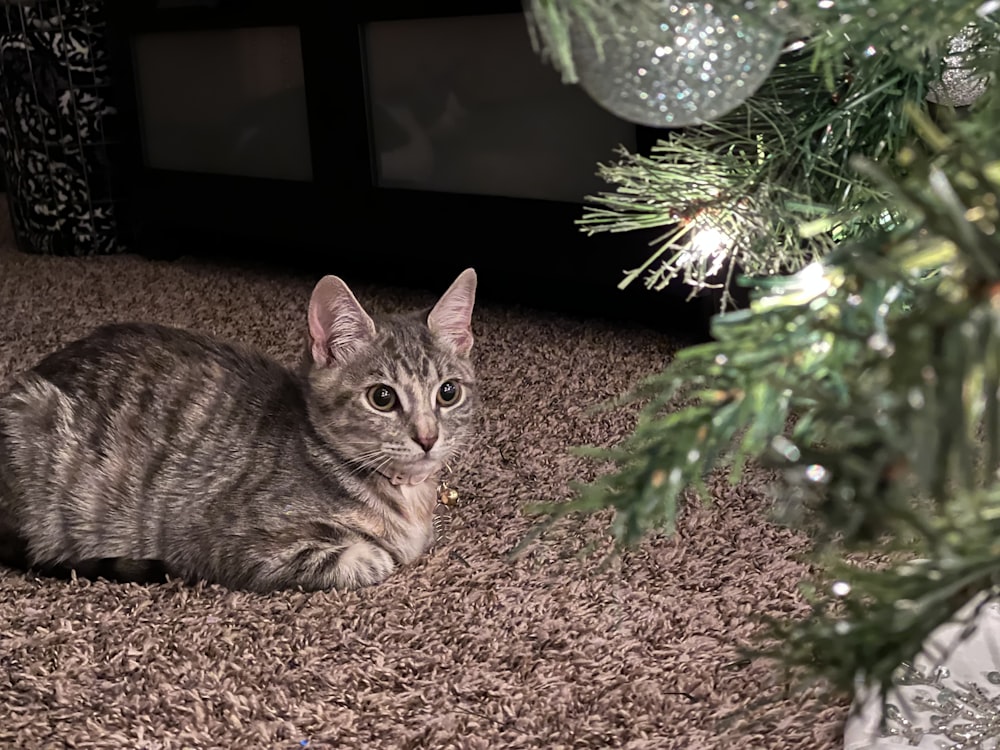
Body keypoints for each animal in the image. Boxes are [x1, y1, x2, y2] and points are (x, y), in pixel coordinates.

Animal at [0, 270, 480, 592]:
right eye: (382, 397)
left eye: (448, 392)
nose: (427, 437)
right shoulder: (224, 543)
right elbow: (370, 559)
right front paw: (384, 553)